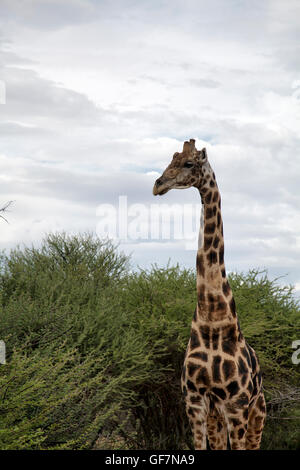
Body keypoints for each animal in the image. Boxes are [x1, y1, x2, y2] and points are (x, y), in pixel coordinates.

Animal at [154, 140, 266, 452]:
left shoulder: (236, 405)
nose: (158, 185)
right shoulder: (194, 401)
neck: (212, 319)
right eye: (171, 159)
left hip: (257, 411)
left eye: (189, 163)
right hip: (217, 415)